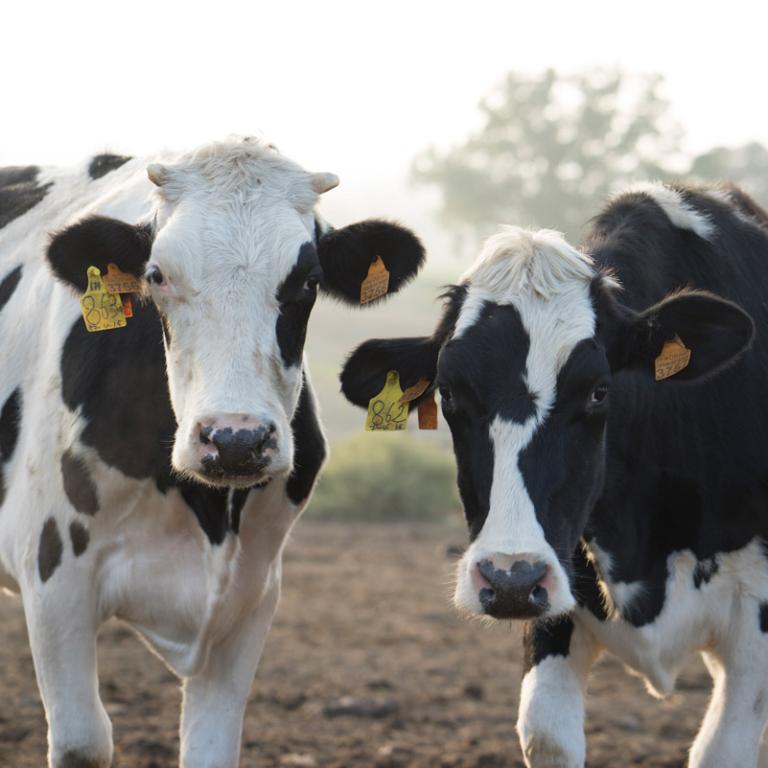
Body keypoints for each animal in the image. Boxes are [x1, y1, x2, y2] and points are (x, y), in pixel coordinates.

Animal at [0, 137, 425, 768]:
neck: (205, 514)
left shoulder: (253, 593)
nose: (235, 439)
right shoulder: (52, 571)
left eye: (308, 280)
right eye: (156, 275)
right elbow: (83, 739)